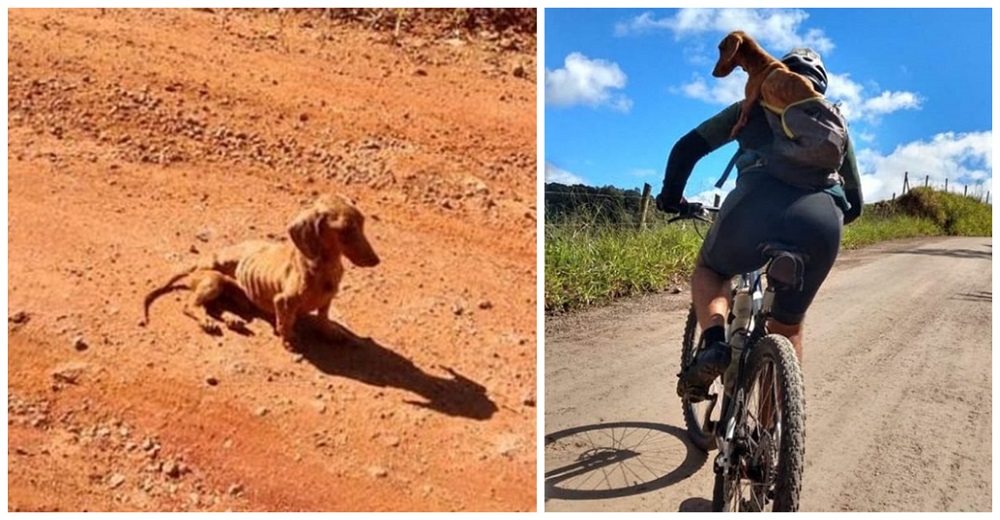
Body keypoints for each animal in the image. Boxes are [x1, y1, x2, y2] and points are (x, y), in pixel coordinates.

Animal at [139, 195, 376, 354]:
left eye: (363, 223)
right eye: (345, 231)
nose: (376, 260)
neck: (324, 267)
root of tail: (199, 262)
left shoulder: (327, 299)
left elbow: (323, 317)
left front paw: (329, 332)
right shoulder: (283, 301)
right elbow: (285, 323)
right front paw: (289, 340)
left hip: (231, 294)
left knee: (215, 306)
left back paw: (231, 319)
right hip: (213, 280)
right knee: (191, 305)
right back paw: (209, 321)